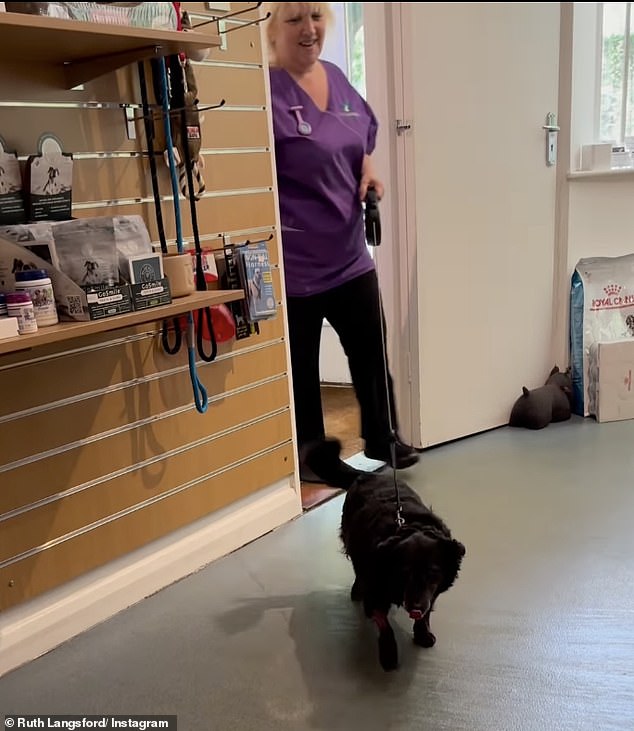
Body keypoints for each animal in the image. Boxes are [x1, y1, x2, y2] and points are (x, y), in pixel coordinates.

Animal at [338, 472, 462, 672]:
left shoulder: (431, 594)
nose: (415, 608)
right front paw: (388, 654)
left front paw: (422, 634)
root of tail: (368, 473)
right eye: (404, 572)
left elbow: (426, 612)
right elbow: (384, 623)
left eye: (433, 573)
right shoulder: (376, 588)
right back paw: (357, 591)